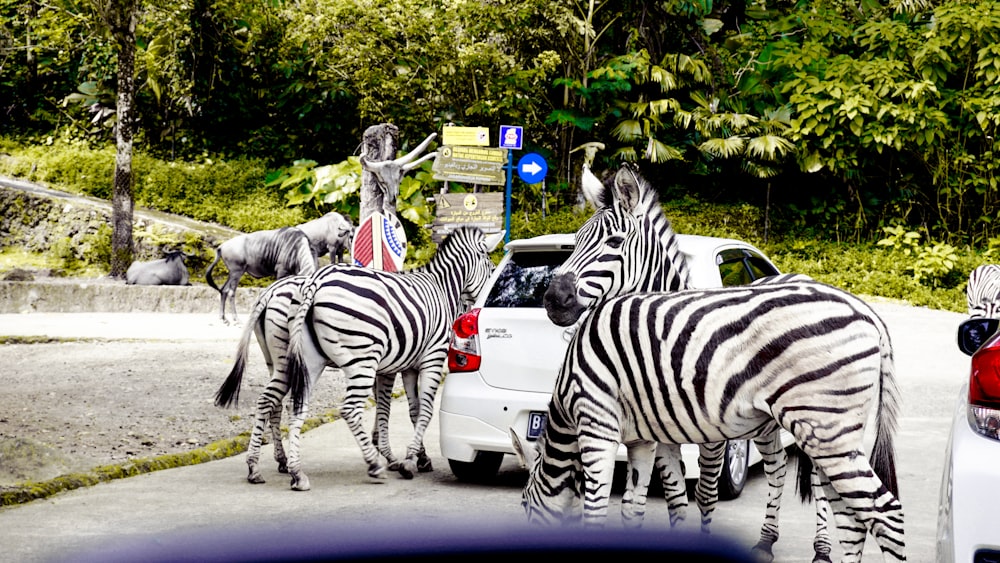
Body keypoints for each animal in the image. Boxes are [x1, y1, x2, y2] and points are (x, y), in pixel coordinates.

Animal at [284, 227, 508, 492]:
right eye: (491, 267)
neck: (443, 288)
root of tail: (317, 279)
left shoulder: (409, 366)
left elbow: (413, 410)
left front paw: (420, 457)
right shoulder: (433, 357)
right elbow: (426, 410)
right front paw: (409, 460)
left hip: (311, 361)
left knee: (297, 407)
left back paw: (297, 473)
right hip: (363, 360)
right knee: (349, 409)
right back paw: (374, 465)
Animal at [512, 165, 904, 563]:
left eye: (615, 242)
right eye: (576, 241)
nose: (553, 299)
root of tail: (866, 313)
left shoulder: (708, 437)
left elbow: (704, 496)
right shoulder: (660, 436)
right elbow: (669, 499)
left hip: (820, 426)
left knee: (863, 505)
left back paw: (822, 548)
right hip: (804, 426)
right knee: (798, 480)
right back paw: (769, 540)